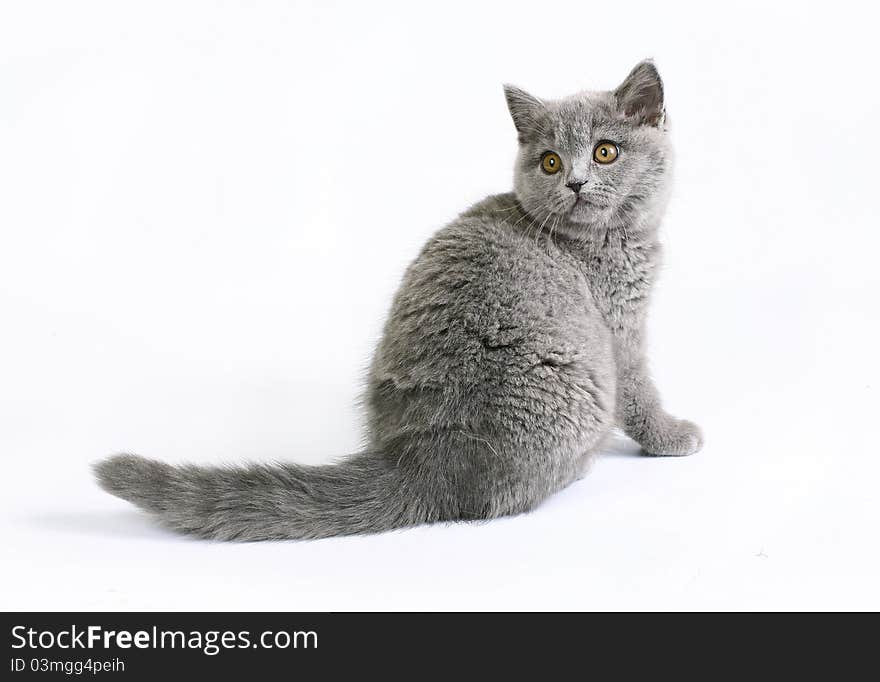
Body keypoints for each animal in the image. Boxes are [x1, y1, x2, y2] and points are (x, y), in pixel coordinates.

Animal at [94, 61, 700, 540]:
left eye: (605, 152)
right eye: (550, 161)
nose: (574, 182)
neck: (606, 241)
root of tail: (427, 457)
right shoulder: (619, 331)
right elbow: (640, 394)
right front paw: (673, 437)